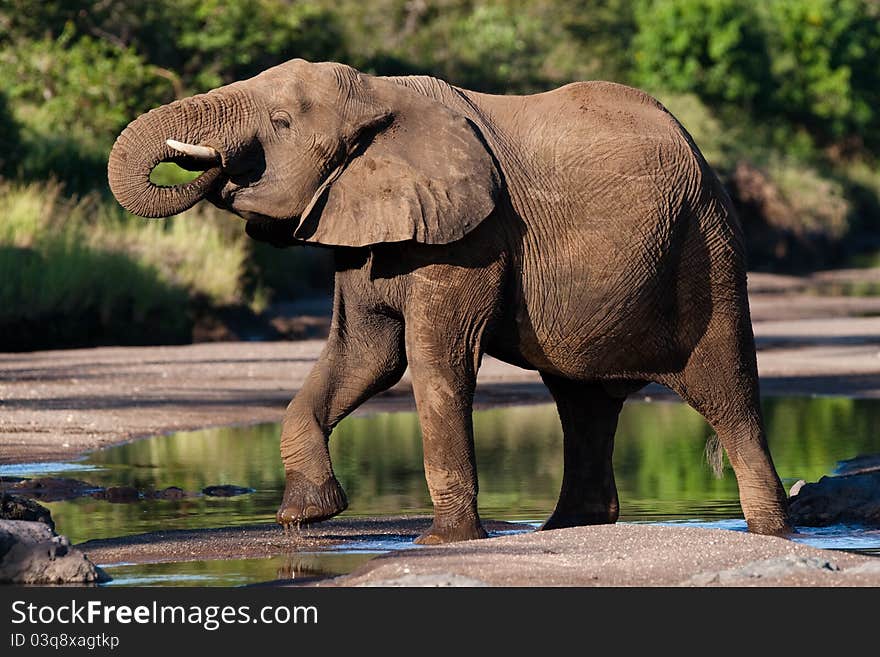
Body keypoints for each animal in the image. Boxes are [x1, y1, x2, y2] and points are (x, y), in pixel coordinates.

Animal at [108, 59, 792, 544]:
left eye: (280, 123)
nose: (218, 167)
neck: (378, 95)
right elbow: (364, 357)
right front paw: (305, 518)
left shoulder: (472, 235)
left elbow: (436, 360)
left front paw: (442, 541)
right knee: (583, 403)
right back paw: (567, 527)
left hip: (707, 248)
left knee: (727, 393)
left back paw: (771, 532)